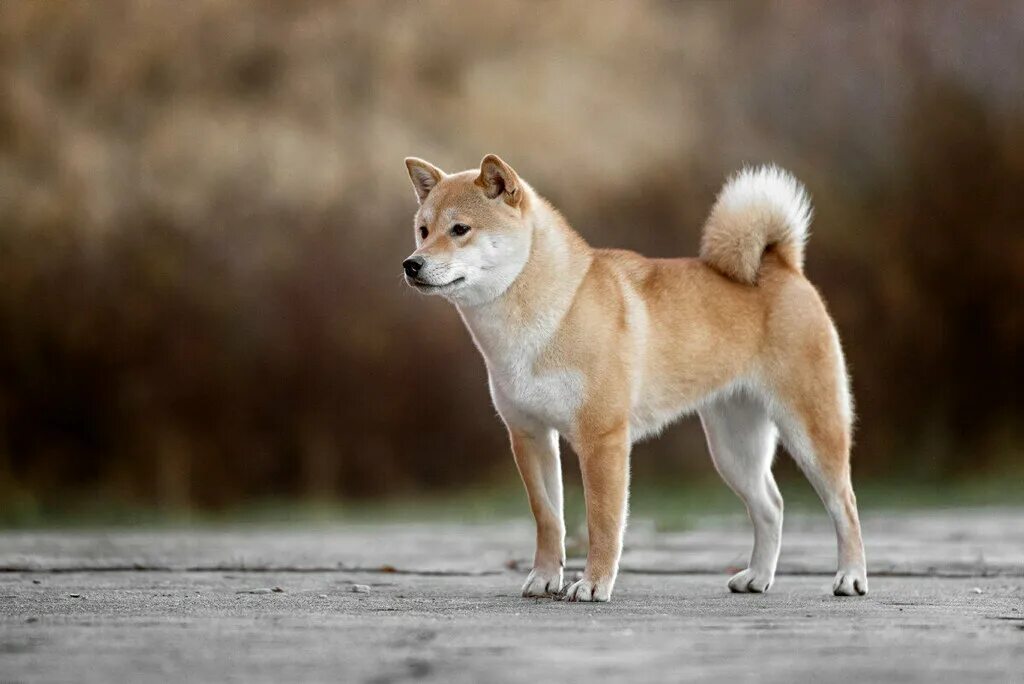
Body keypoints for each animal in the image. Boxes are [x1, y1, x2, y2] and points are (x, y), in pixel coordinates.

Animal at [399, 156, 864, 602]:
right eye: (423, 230)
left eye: (460, 229)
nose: (411, 264)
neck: (551, 311)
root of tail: (783, 265)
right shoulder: (529, 434)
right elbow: (548, 519)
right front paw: (546, 579)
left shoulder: (602, 438)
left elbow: (602, 522)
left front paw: (592, 585)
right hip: (734, 448)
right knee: (771, 506)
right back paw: (758, 578)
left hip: (811, 431)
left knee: (844, 503)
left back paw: (851, 578)